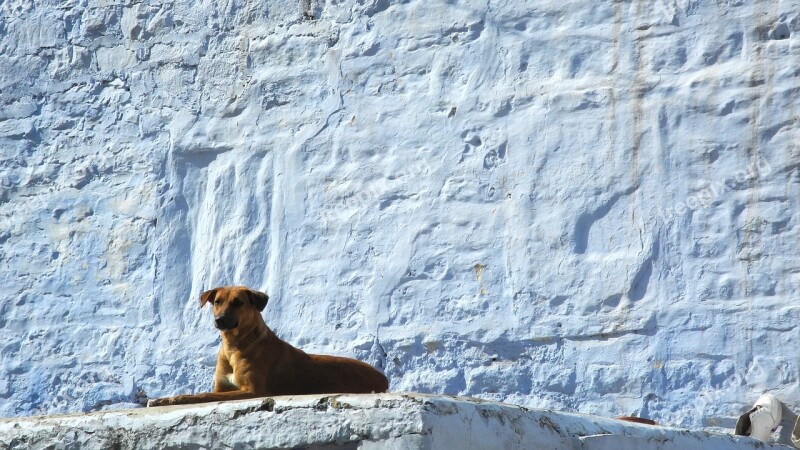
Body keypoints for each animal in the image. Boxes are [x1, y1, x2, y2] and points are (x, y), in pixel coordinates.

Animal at [150, 284, 390, 408]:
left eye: (238, 303)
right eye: (217, 302)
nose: (219, 320)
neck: (234, 346)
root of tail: (383, 378)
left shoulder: (251, 390)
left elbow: (203, 395)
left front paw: (176, 398)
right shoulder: (221, 387)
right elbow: (207, 393)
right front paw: (166, 398)